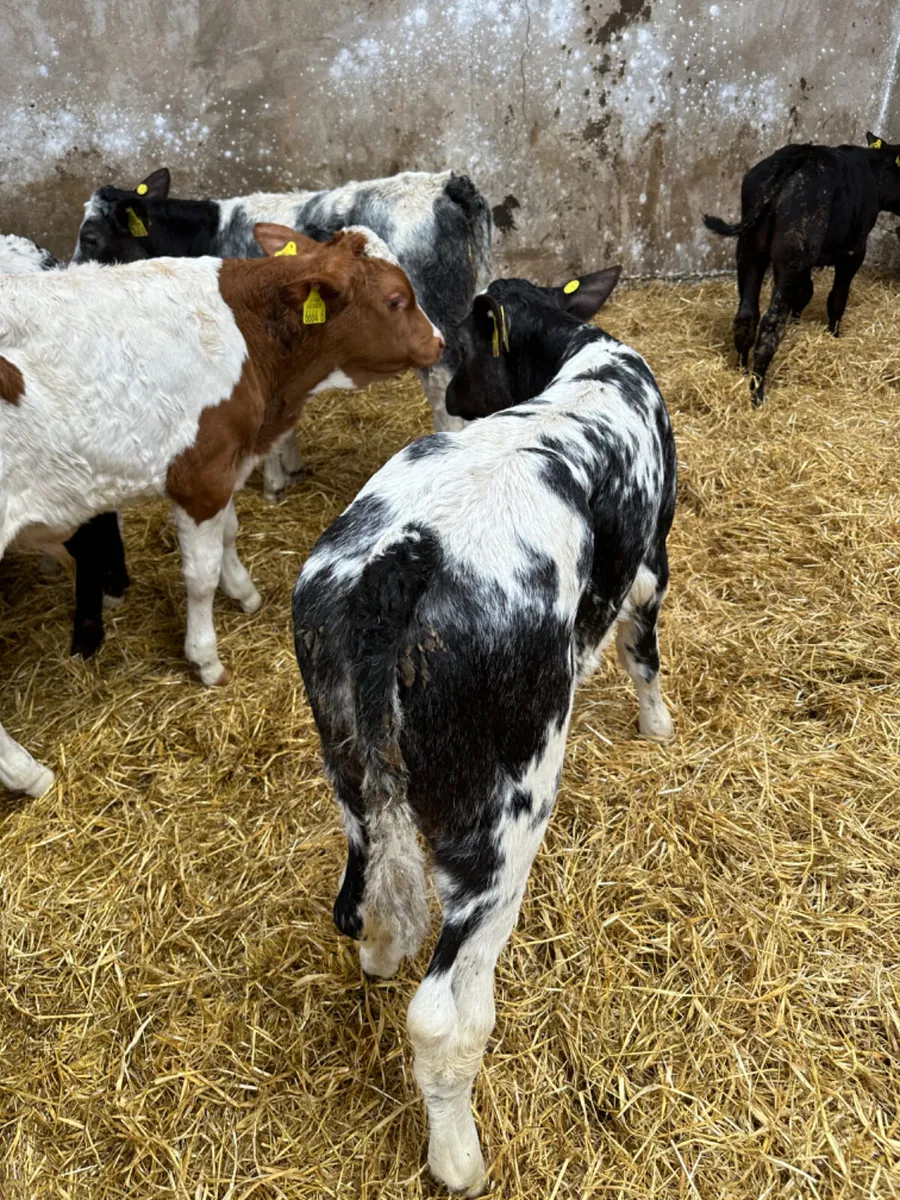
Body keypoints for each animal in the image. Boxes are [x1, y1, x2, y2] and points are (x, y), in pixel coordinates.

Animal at [0, 226, 444, 798]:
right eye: (395, 300)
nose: (440, 340)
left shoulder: (227, 464)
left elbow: (230, 531)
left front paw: (245, 591)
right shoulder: (200, 475)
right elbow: (199, 575)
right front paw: (206, 658)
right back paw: (29, 774)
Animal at [72, 166, 493, 496]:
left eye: (90, 238)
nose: (71, 272)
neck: (210, 235)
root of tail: (447, 183)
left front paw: (274, 480)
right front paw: (290, 466)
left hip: (439, 341)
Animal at [292, 265, 676, 1194]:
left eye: (464, 344)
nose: (456, 397)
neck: (584, 358)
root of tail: (407, 553)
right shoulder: (652, 562)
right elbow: (645, 652)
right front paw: (659, 727)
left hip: (347, 754)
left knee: (367, 892)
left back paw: (380, 947)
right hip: (506, 809)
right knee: (442, 1008)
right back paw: (459, 1156)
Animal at [703, 133, 900, 405]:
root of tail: (799, 155)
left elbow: (805, 291)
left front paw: (798, 321)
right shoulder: (854, 251)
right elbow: (837, 297)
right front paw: (834, 334)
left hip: (750, 250)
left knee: (746, 315)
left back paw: (741, 371)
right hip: (792, 256)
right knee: (771, 324)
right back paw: (757, 392)